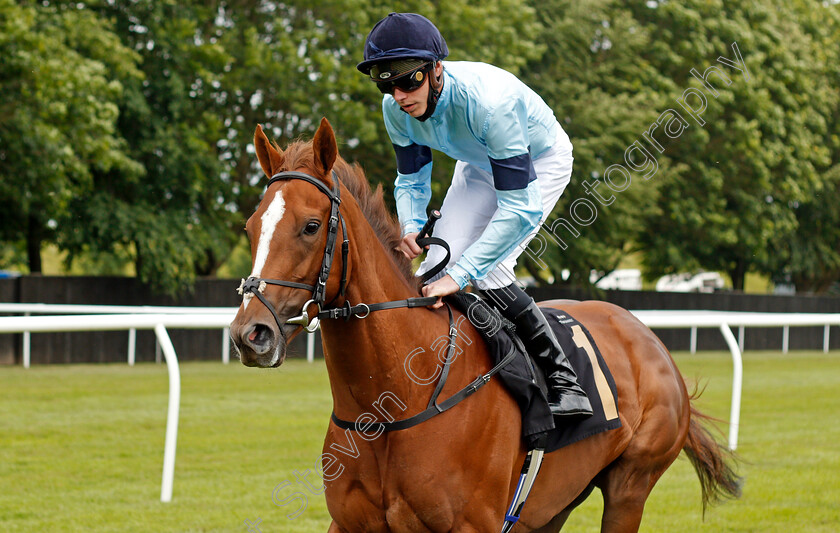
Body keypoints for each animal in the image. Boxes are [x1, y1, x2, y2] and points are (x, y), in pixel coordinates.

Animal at [231, 118, 740, 528]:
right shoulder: (349, 524)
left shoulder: (472, 525)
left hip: (629, 487)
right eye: (251, 227)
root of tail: (650, 340)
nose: (249, 335)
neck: (393, 405)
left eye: (311, 226)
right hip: (550, 506)